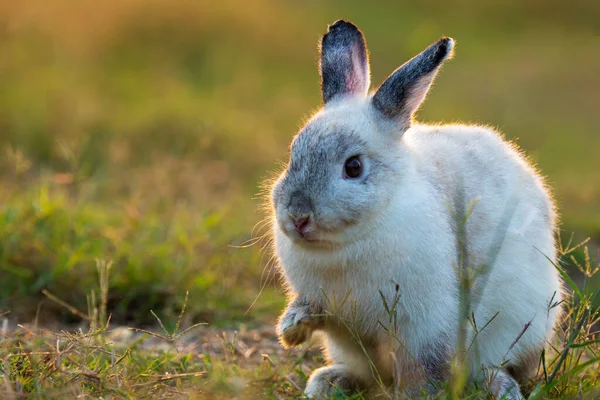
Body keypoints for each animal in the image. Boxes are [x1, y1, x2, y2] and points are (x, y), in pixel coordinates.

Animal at [270, 19, 560, 400]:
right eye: (293, 154)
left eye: (353, 167)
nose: (298, 216)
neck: (345, 245)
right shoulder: (338, 316)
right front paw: (292, 330)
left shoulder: (426, 325)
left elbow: (427, 368)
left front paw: (416, 395)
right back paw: (327, 382)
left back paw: (500, 386)